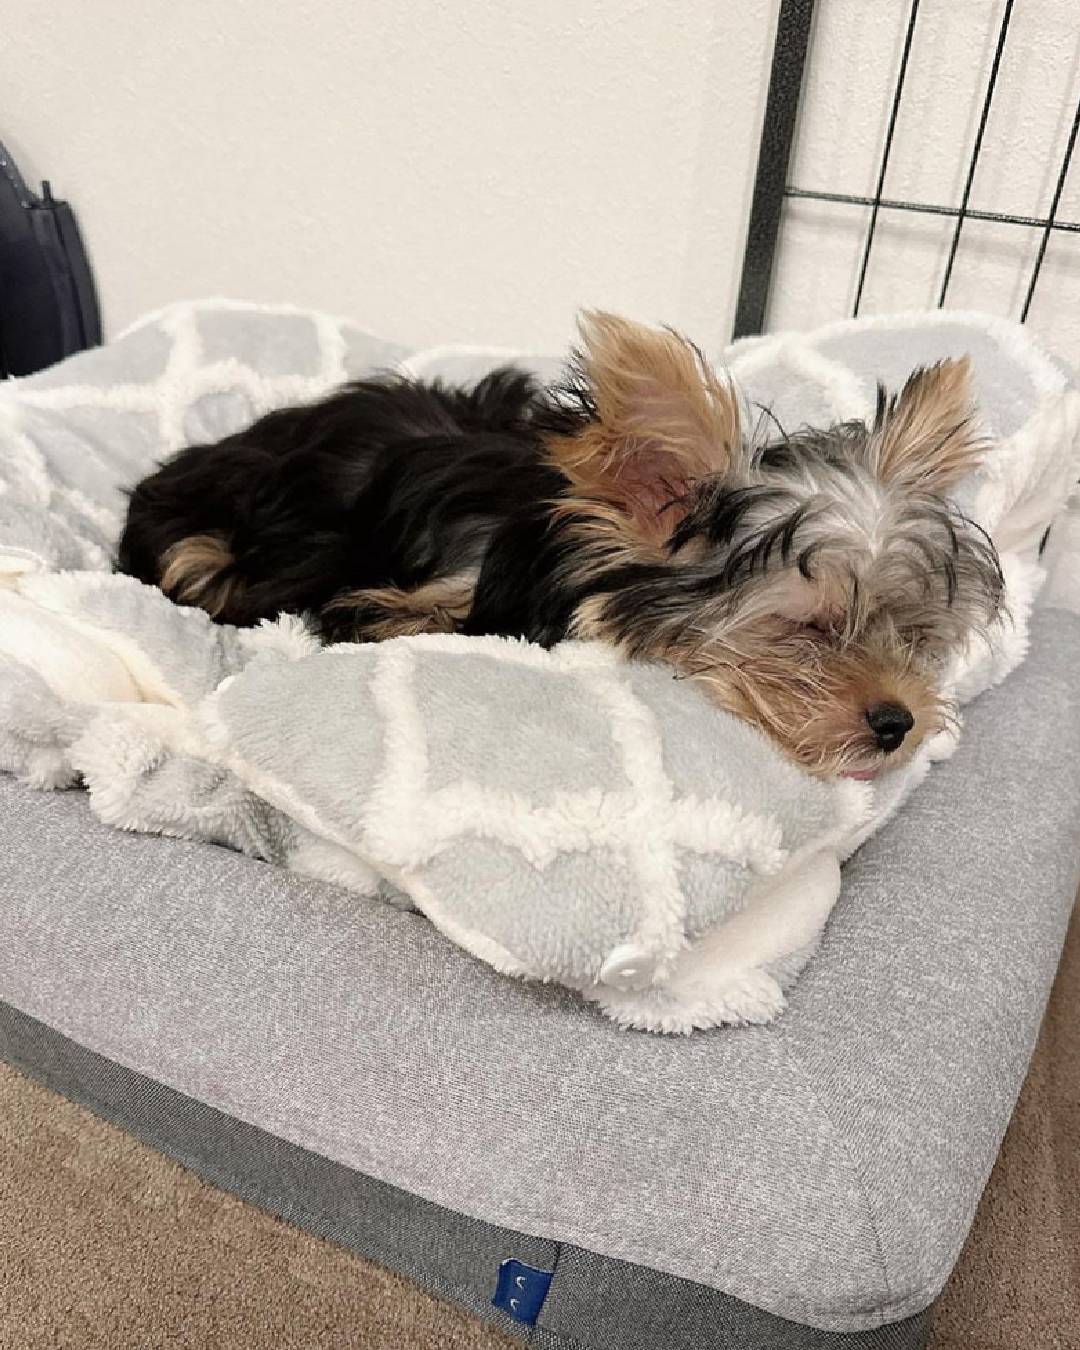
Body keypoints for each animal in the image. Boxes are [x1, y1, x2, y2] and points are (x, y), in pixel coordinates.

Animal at [118, 311, 1004, 783]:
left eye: (913, 633)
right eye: (805, 628)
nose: (898, 724)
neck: (564, 557)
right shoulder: (390, 604)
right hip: (208, 546)